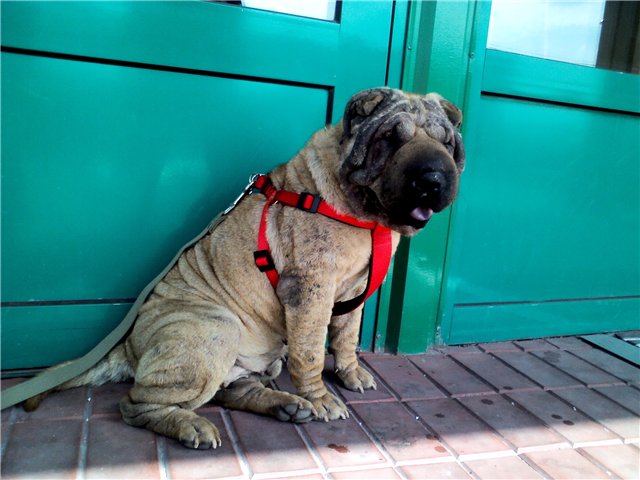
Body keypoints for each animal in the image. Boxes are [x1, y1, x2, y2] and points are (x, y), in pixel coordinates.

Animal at [24, 87, 465, 449]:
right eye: (389, 139)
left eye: (446, 143)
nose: (433, 177)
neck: (363, 213)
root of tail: (129, 346)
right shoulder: (310, 290)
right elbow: (310, 351)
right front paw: (321, 398)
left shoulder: (354, 293)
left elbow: (345, 337)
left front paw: (350, 374)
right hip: (215, 328)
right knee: (136, 404)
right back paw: (194, 426)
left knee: (232, 390)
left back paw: (284, 405)